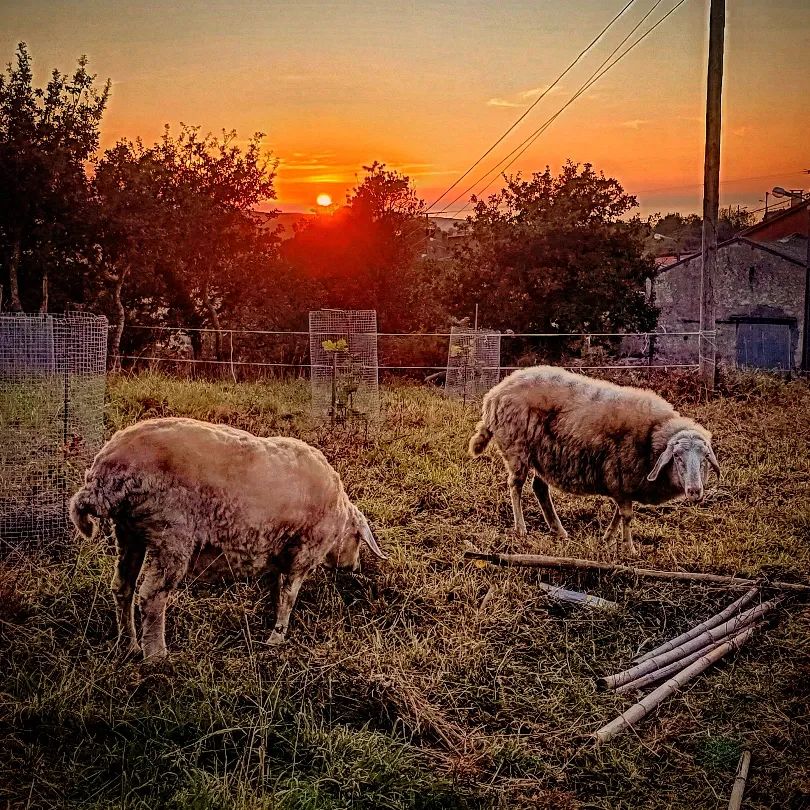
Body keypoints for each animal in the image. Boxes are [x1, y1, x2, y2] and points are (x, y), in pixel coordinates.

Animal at [69, 417, 387, 659]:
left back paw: (130, 645)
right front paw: (276, 638)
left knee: (122, 586)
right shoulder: (303, 552)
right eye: (358, 539)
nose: (354, 567)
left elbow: (275, 589)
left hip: (129, 532)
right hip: (170, 531)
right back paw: (156, 656)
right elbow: (288, 596)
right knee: (152, 595)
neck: (338, 515)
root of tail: (102, 472)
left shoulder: (278, 549)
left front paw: (268, 623)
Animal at [468, 366, 720, 557]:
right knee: (515, 486)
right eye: (677, 456)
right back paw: (521, 528)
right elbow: (627, 516)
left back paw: (558, 530)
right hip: (517, 448)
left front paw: (608, 539)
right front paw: (629, 549)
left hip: (543, 455)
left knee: (539, 488)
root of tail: (495, 393)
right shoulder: (621, 476)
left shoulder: (623, 484)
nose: (695, 491)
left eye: (705, 458)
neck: (652, 437)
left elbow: (619, 514)